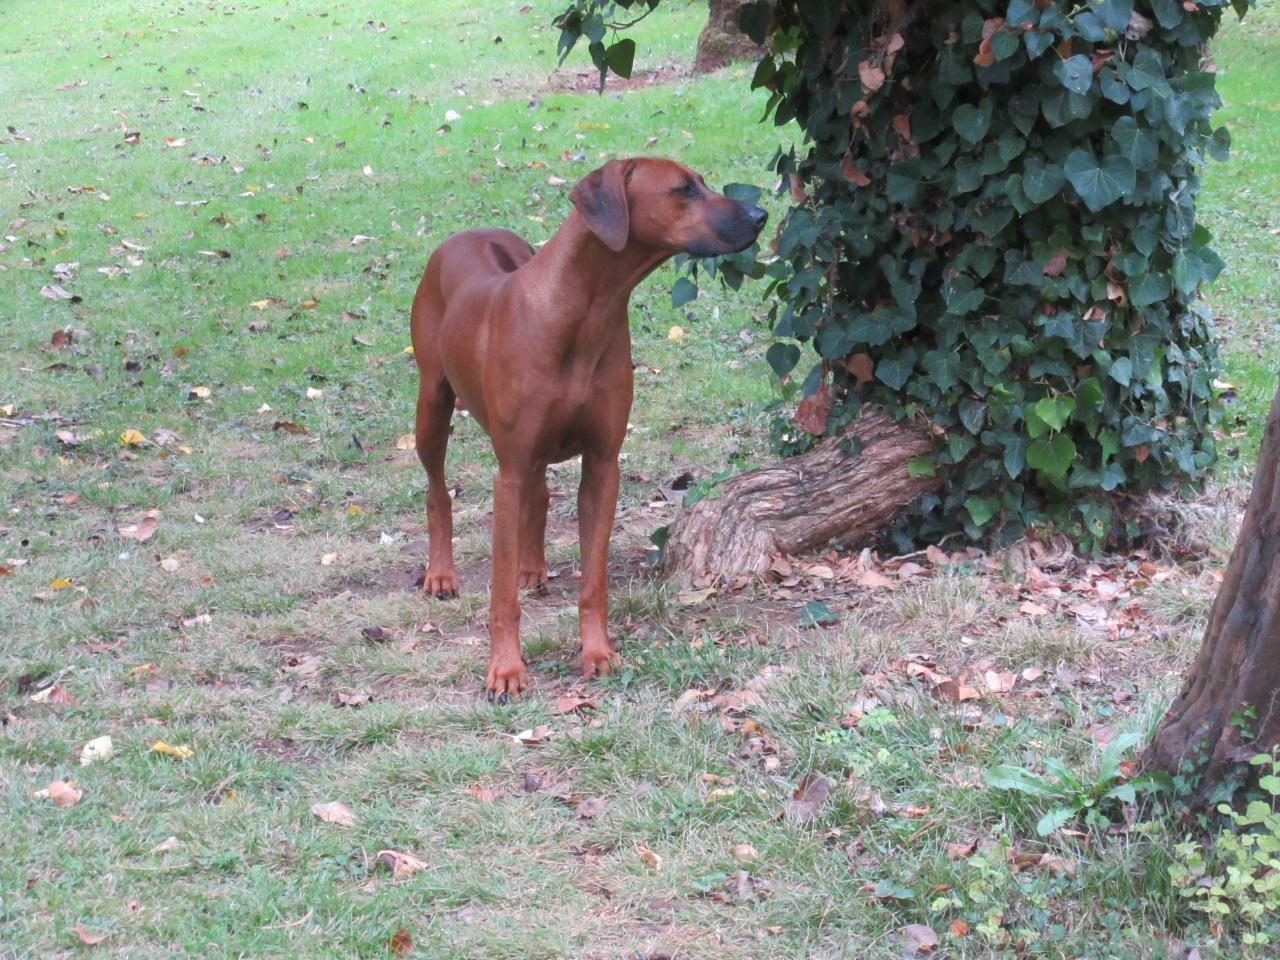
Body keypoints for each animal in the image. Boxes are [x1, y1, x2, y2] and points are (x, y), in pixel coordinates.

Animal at [412, 156, 768, 701]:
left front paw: (597, 653)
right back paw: (441, 574)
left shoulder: (603, 464)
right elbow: (501, 596)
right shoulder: (509, 470)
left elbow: (593, 579)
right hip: (432, 405)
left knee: (538, 495)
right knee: (437, 490)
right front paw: (505, 671)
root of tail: (464, 234)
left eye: (703, 182)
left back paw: (532, 566)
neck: (584, 309)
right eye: (682, 189)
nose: (760, 215)